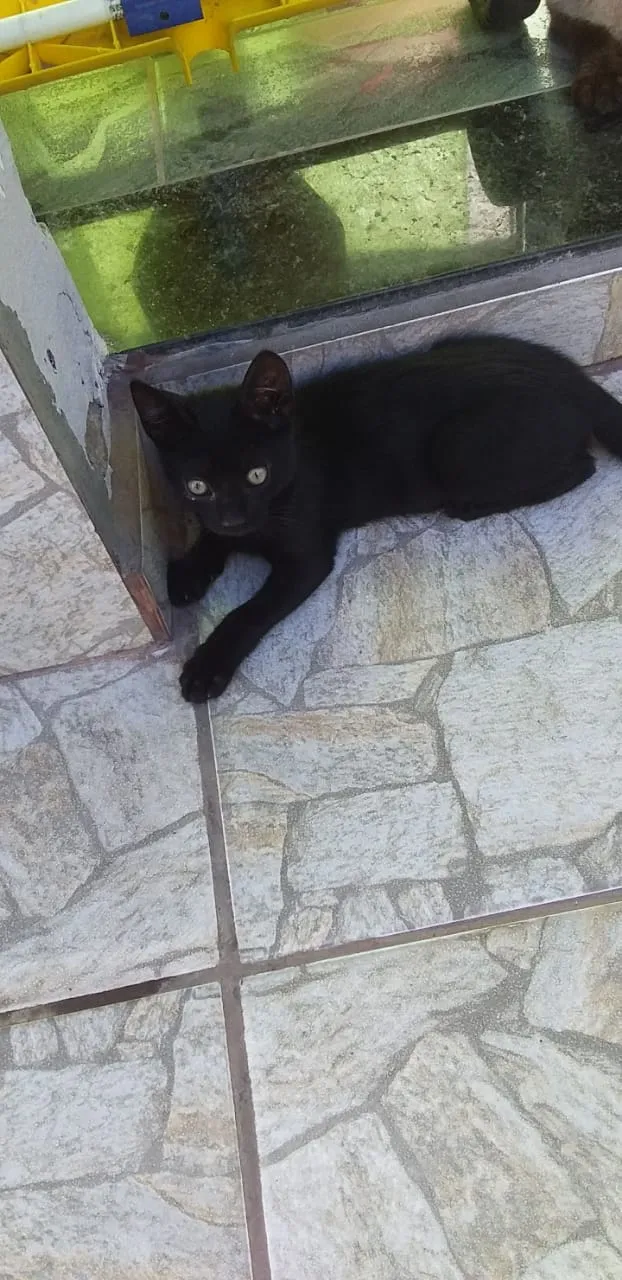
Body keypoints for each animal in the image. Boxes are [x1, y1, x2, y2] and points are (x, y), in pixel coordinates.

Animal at [131, 335, 622, 703]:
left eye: (257, 475)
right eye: (198, 486)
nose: (235, 517)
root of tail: (575, 379)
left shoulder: (306, 558)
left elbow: (249, 611)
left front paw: (207, 667)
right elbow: (211, 535)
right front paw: (189, 571)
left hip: (456, 444)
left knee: (582, 468)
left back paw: (470, 506)